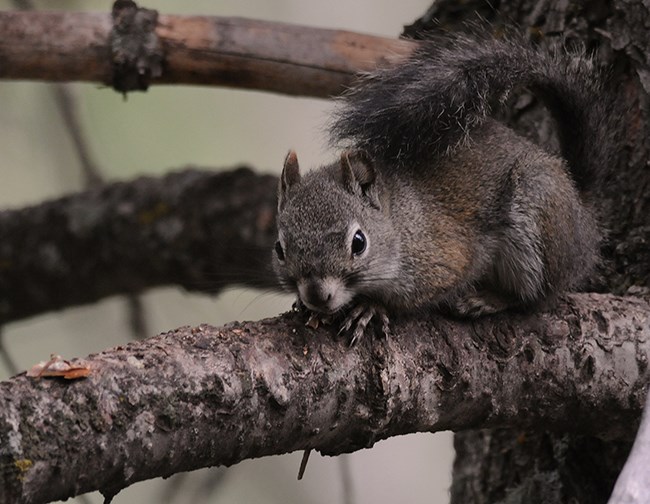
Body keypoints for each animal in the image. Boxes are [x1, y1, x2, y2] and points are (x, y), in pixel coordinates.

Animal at [272, 33, 612, 344]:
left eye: (359, 243)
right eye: (279, 248)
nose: (317, 296)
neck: (399, 223)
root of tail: (581, 206)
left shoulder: (446, 256)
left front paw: (372, 307)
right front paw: (305, 307)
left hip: (537, 210)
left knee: (535, 296)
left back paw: (486, 299)